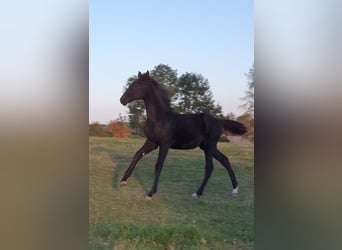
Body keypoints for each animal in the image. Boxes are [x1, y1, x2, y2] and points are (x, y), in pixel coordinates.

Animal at [119, 71, 246, 200]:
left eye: (137, 85)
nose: (122, 100)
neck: (159, 118)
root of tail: (219, 121)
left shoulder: (165, 144)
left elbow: (158, 166)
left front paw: (150, 193)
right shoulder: (152, 142)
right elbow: (137, 155)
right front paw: (123, 181)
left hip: (210, 146)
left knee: (210, 167)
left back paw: (197, 193)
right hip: (207, 147)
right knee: (224, 160)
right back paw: (234, 190)